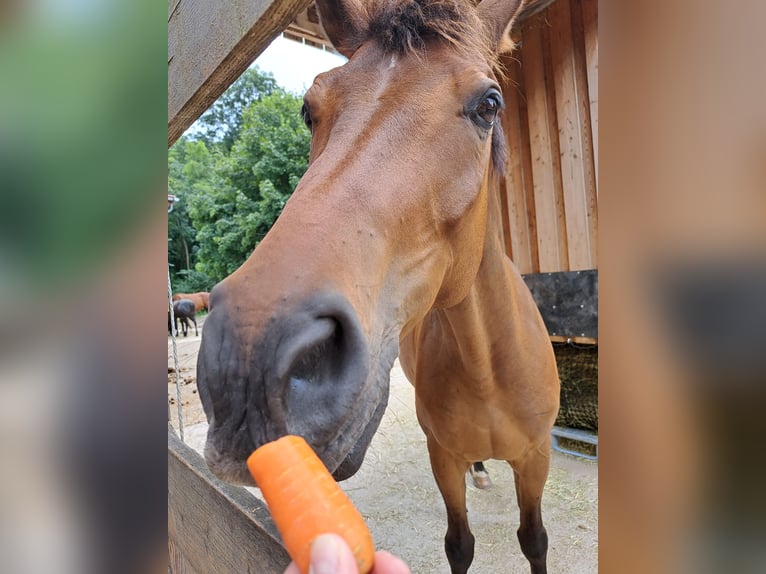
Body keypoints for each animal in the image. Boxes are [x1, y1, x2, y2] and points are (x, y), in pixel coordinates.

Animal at [196, 1, 560, 574]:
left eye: (490, 104)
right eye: (309, 108)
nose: (246, 361)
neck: (488, 369)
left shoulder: (535, 457)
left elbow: (534, 538)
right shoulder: (442, 457)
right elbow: (460, 544)